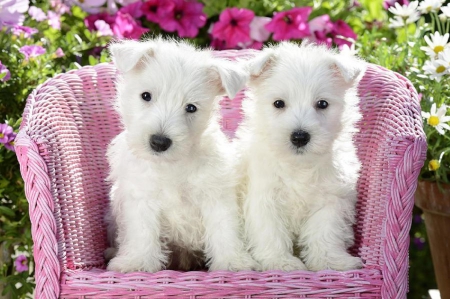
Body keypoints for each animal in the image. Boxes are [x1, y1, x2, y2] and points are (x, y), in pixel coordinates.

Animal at [106, 38, 258, 274]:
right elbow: (142, 231)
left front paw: (233, 262)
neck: (171, 164)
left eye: (191, 108)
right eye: (146, 96)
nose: (159, 142)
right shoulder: (141, 197)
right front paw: (137, 262)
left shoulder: (215, 195)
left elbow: (224, 229)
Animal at [237, 42, 368, 274]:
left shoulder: (331, 200)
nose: (299, 137)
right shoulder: (264, 199)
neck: (298, 165)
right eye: (278, 103)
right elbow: (270, 232)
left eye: (322, 104)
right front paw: (280, 262)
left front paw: (330, 261)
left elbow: (325, 232)